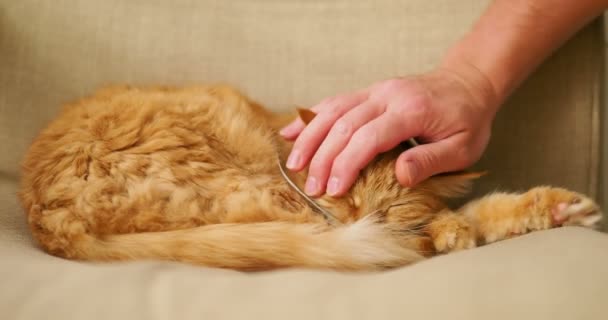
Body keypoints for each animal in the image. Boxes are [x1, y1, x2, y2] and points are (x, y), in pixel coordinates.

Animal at [19, 84, 604, 270]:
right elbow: (456, 220)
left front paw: (563, 208)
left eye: (389, 205)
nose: (367, 220)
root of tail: (48, 216)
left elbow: (487, 211)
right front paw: (449, 230)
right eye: (343, 196)